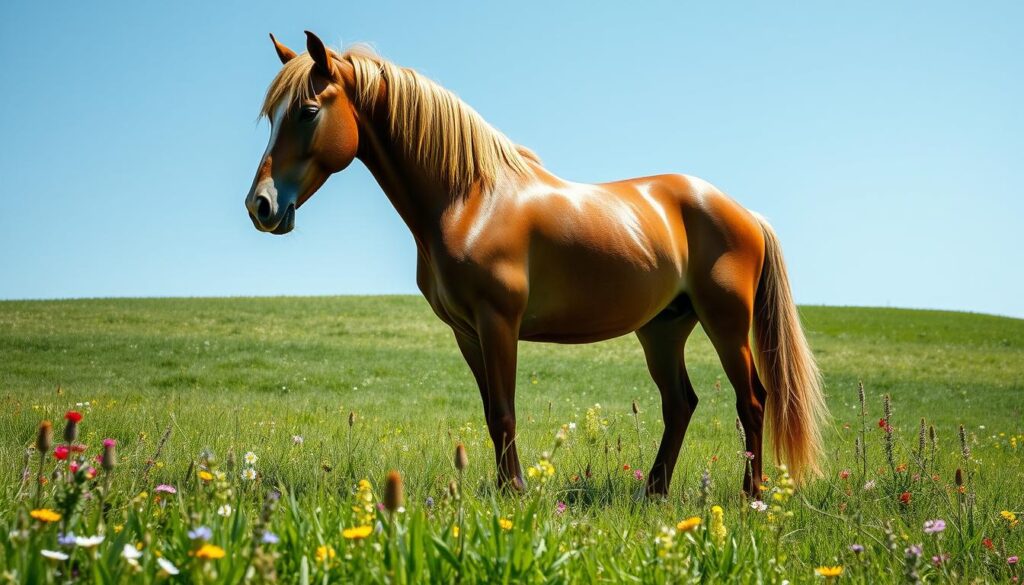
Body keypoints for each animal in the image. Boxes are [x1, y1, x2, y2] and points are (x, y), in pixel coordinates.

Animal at [244, 31, 828, 498]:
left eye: (308, 110)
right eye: (272, 115)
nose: (261, 206)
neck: (469, 199)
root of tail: (743, 212)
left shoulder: (499, 321)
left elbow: (505, 412)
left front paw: (516, 493)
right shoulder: (467, 332)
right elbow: (490, 414)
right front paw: (507, 489)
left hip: (725, 322)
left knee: (752, 402)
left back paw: (750, 497)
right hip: (663, 329)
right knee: (680, 404)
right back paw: (654, 493)